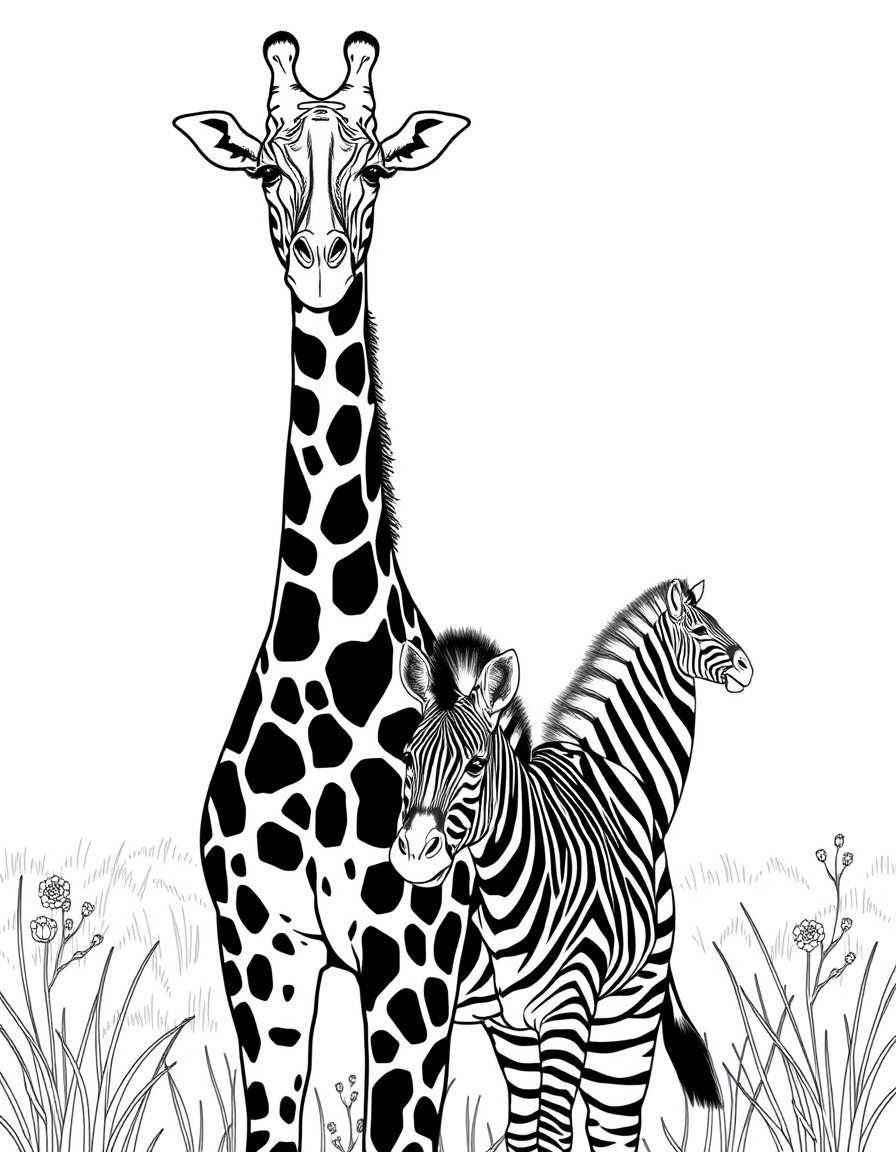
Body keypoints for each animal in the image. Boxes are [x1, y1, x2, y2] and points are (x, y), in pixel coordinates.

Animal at [389, 578, 753, 1152]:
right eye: (408, 758)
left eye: (476, 765)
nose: (746, 665)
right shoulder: (571, 1011)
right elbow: (544, 1134)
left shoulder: (545, 1017)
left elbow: (540, 1133)